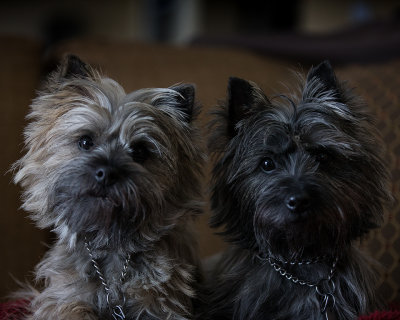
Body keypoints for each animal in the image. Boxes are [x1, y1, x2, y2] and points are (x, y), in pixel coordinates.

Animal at [13, 53, 205, 318]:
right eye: (86, 141)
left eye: (140, 151)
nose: (106, 174)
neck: (111, 246)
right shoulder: (63, 298)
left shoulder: (162, 304)